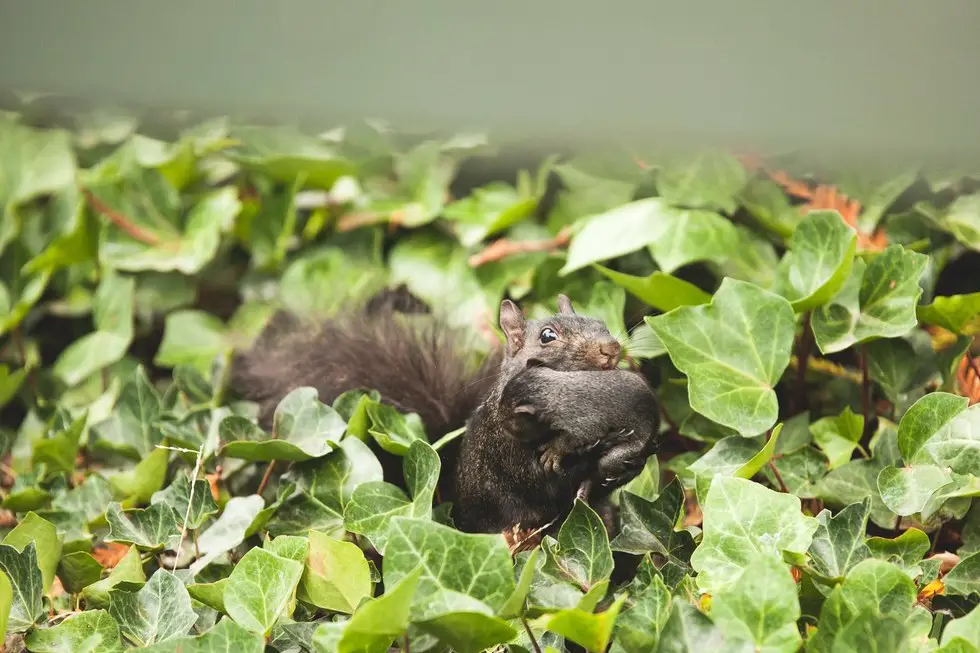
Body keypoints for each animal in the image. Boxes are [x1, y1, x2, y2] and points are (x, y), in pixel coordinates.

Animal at [230, 288, 660, 532]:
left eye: (599, 320)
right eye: (547, 336)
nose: (611, 349)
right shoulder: (507, 440)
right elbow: (538, 463)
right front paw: (563, 451)